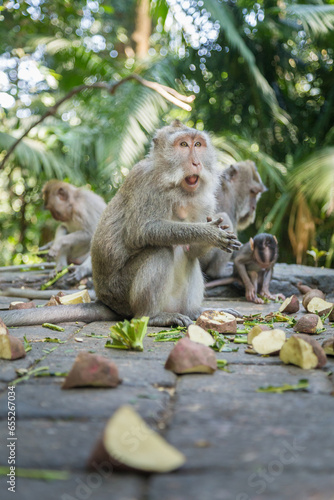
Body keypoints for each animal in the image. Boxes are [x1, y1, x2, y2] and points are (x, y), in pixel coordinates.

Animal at [1, 121, 241, 328]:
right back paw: (153, 316)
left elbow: (193, 251)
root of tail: (105, 301)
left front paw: (214, 233)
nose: (196, 163)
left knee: (188, 258)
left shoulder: (205, 201)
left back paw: (195, 312)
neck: (176, 186)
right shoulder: (145, 182)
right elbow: (140, 232)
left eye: (198, 145)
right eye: (183, 145)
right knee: (160, 250)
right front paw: (208, 232)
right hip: (122, 294)